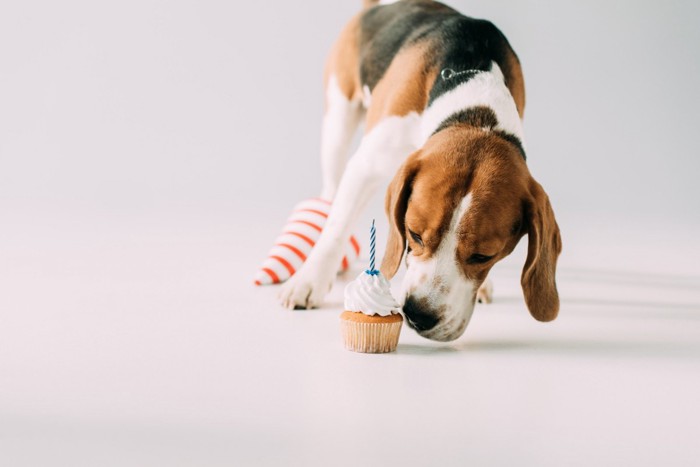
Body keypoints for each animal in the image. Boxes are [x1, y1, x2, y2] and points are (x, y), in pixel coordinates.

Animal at [278, 0, 564, 344]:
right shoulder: (365, 166)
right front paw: (307, 281)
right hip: (337, 121)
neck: (475, 109)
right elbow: (337, 227)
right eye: (413, 234)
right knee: (330, 196)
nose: (419, 316)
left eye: (484, 256)